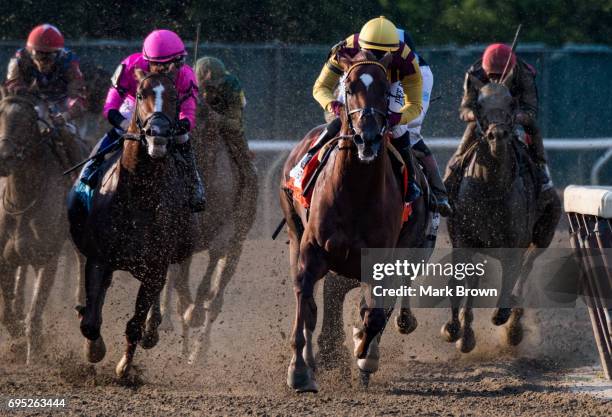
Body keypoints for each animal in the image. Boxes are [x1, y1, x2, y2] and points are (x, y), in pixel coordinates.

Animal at [68, 71, 195, 376]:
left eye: (175, 95)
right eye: (140, 94)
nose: (157, 136)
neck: (139, 198)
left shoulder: (155, 266)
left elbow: (135, 323)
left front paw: (125, 367)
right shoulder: (99, 258)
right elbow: (91, 322)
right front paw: (94, 349)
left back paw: (152, 328)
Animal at [280, 51, 432, 390]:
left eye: (386, 91)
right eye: (348, 88)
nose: (368, 138)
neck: (354, 190)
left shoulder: (381, 260)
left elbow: (373, 314)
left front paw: (363, 353)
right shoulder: (312, 251)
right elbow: (305, 301)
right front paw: (299, 369)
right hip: (295, 230)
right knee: (309, 299)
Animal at [440, 82, 564, 352]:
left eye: (510, 104)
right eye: (479, 105)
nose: (497, 135)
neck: (490, 187)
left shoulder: (514, 246)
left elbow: (511, 279)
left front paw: (503, 316)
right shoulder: (463, 241)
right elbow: (459, 283)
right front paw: (455, 330)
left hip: (545, 234)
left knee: (526, 269)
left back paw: (514, 327)